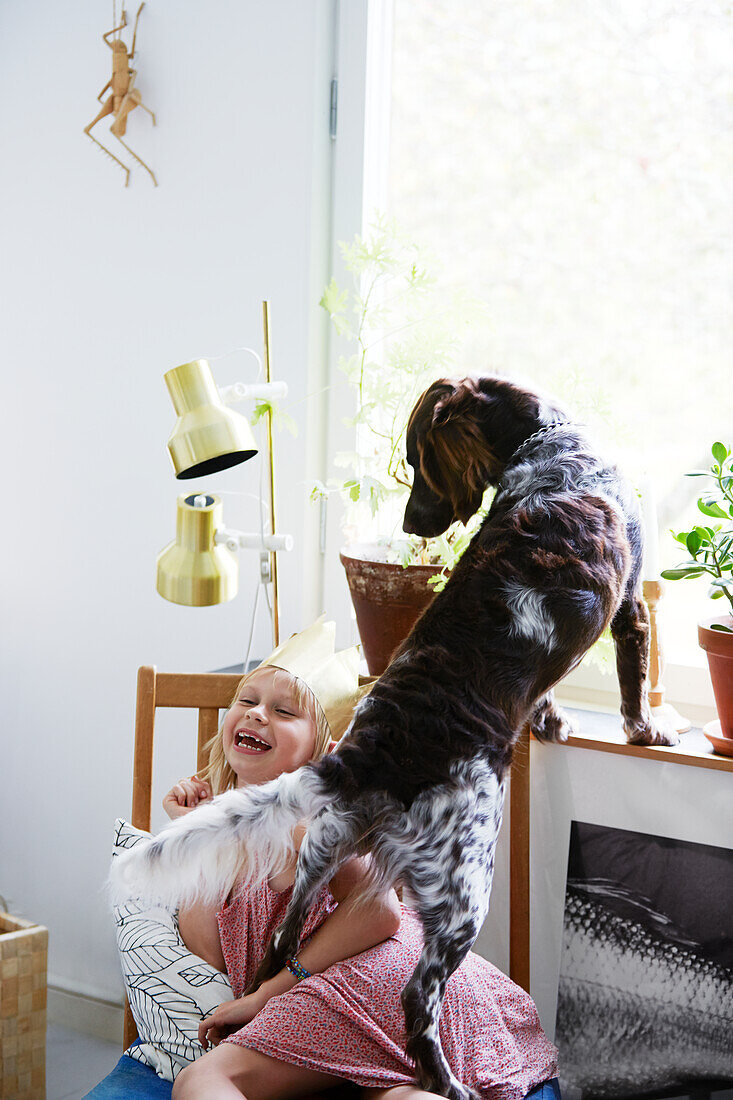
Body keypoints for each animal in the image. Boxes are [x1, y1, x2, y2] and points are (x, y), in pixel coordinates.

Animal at [110, 378, 673, 1100]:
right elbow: (633, 682)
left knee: (280, 948)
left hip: (322, 852)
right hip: (464, 890)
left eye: (416, 461)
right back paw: (451, 1085)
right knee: (415, 1003)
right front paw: (647, 730)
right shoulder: (631, 604)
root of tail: (366, 753)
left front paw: (551, 721)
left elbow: (549, 691)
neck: (551, 449)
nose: (408, 525)